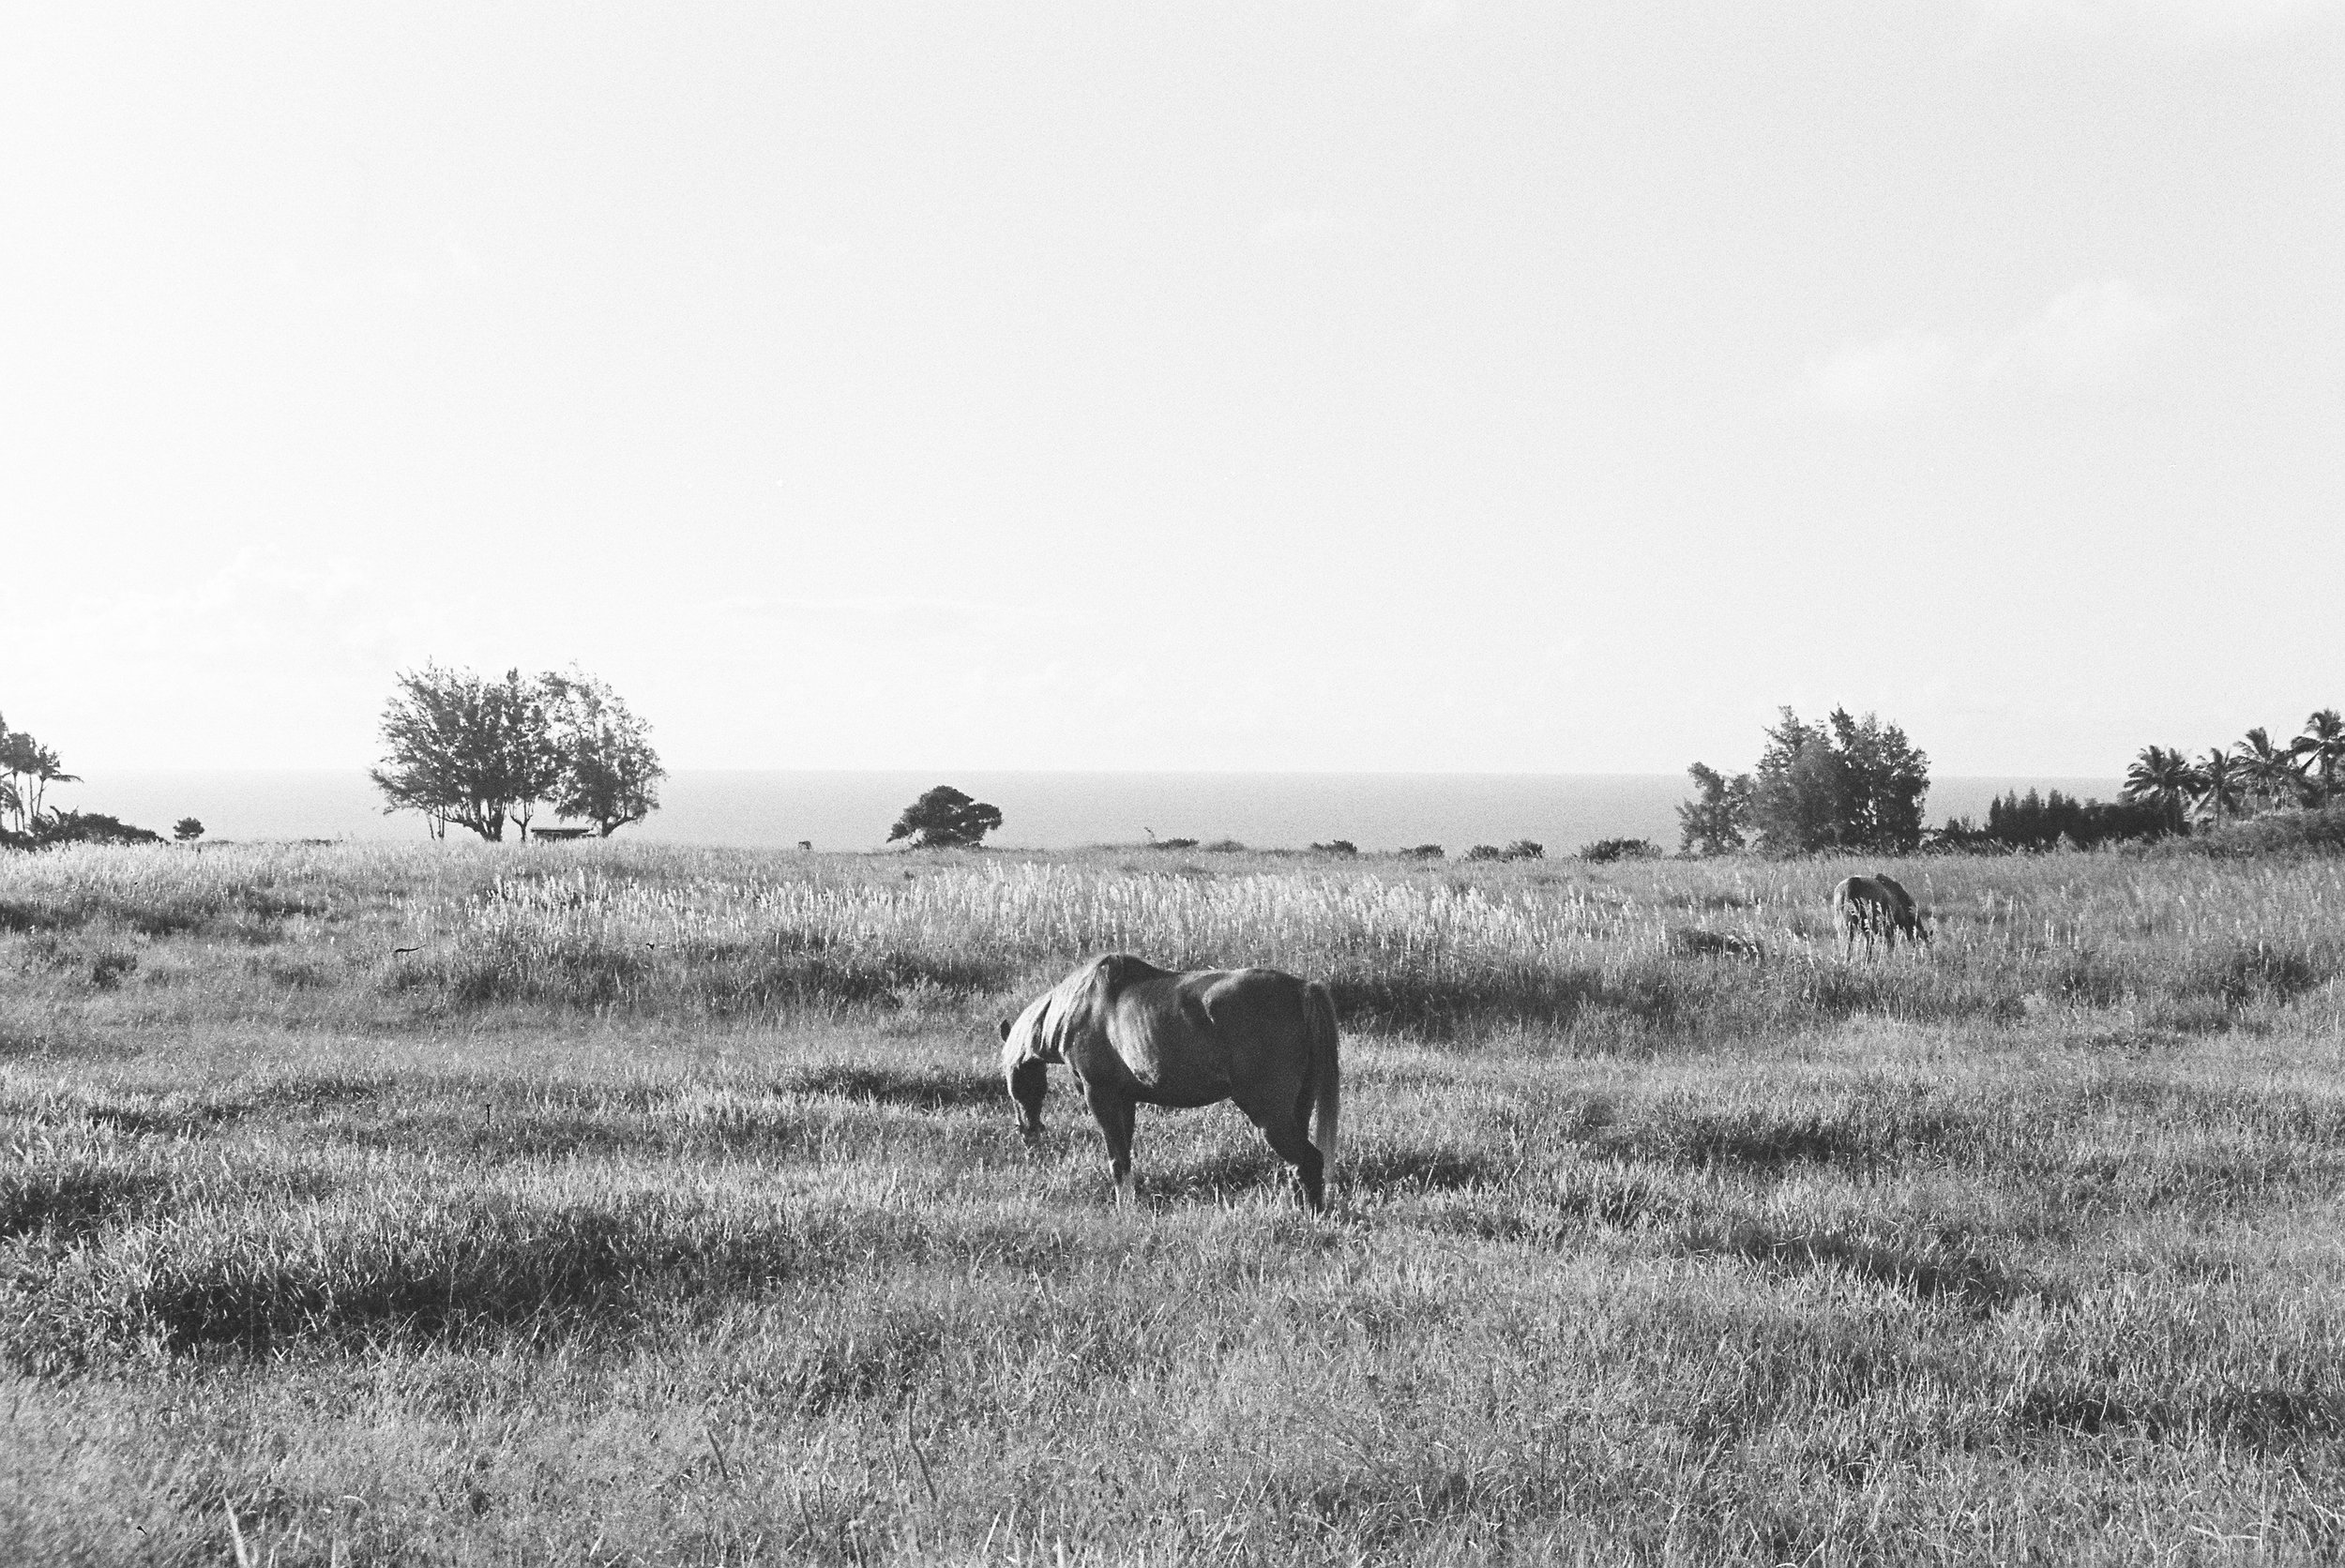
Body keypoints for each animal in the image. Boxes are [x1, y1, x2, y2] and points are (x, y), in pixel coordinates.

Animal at [998, 954, 1341, 1211]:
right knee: (1297, 1165)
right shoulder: (1126, 1101)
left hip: (1268, 1114)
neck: (1082, 1006)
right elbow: (1126, 1154)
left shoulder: (1100, 1096)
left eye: (1011, 1075)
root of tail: (1302, 988)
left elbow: (1116, 1159)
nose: (1028, 1132)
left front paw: (1125, 1210)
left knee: (1309, 1160)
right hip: (1298, 1108)